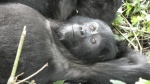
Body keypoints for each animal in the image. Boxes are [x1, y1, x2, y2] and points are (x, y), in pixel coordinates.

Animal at [0, 3, 150, 84]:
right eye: (92, 27)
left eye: (93, 41)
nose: (82, 31)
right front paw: (121, 46)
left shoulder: (94, 71)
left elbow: (141, 71)